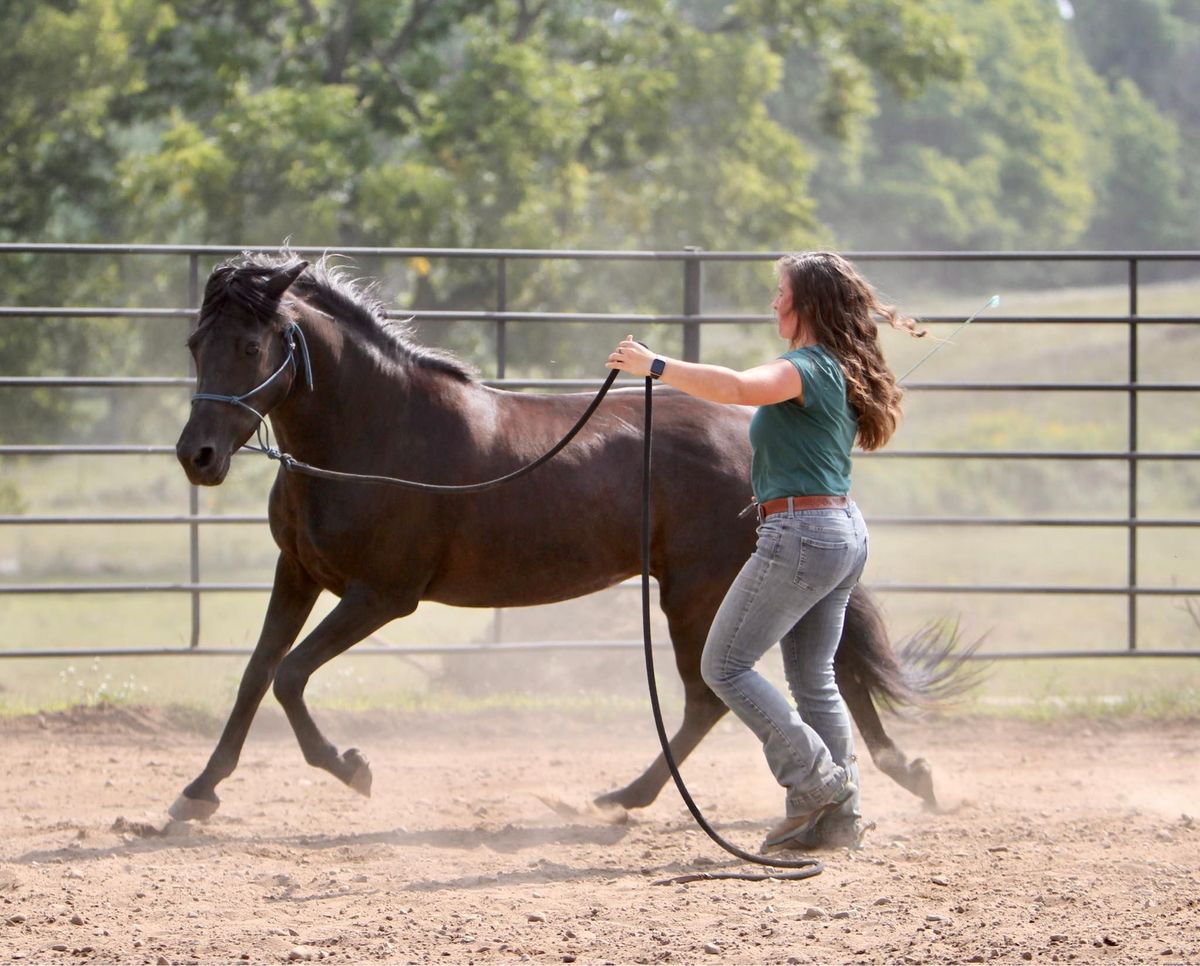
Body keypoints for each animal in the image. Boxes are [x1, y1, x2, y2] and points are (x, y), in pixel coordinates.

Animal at [171, 250, 974, 820]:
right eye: (195, 343)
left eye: (252, 346)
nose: (197, 456)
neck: (377, 435)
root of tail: (749, 440)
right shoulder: (299, 574)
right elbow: (255, 675)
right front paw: (198, 793)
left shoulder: (382, 596)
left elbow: (290, 675)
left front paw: (352, 769)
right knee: (820, 674)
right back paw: (905, 773)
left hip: (696, 596)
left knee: (711, 697)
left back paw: (625, 799)